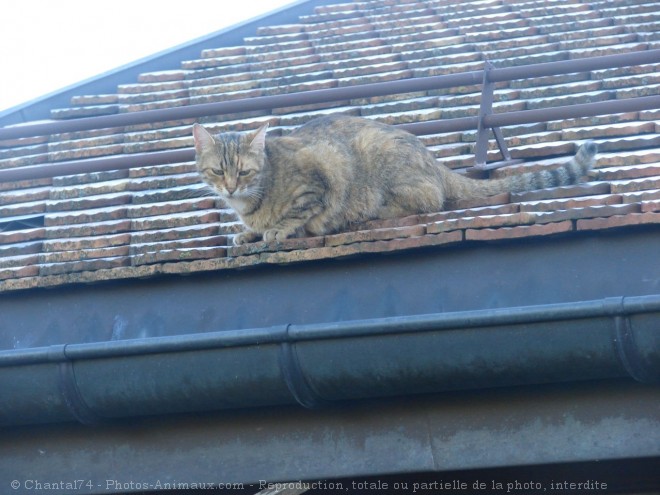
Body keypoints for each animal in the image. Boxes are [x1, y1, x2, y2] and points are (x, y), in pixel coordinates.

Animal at [192, 112, 600, 244]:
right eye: (218, 171)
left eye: (244, 171)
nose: (230, 186)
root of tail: (434, 160)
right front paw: (248, 232)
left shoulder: (319, 178)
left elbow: (298, 211)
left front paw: (276, 229)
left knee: (430, 198)